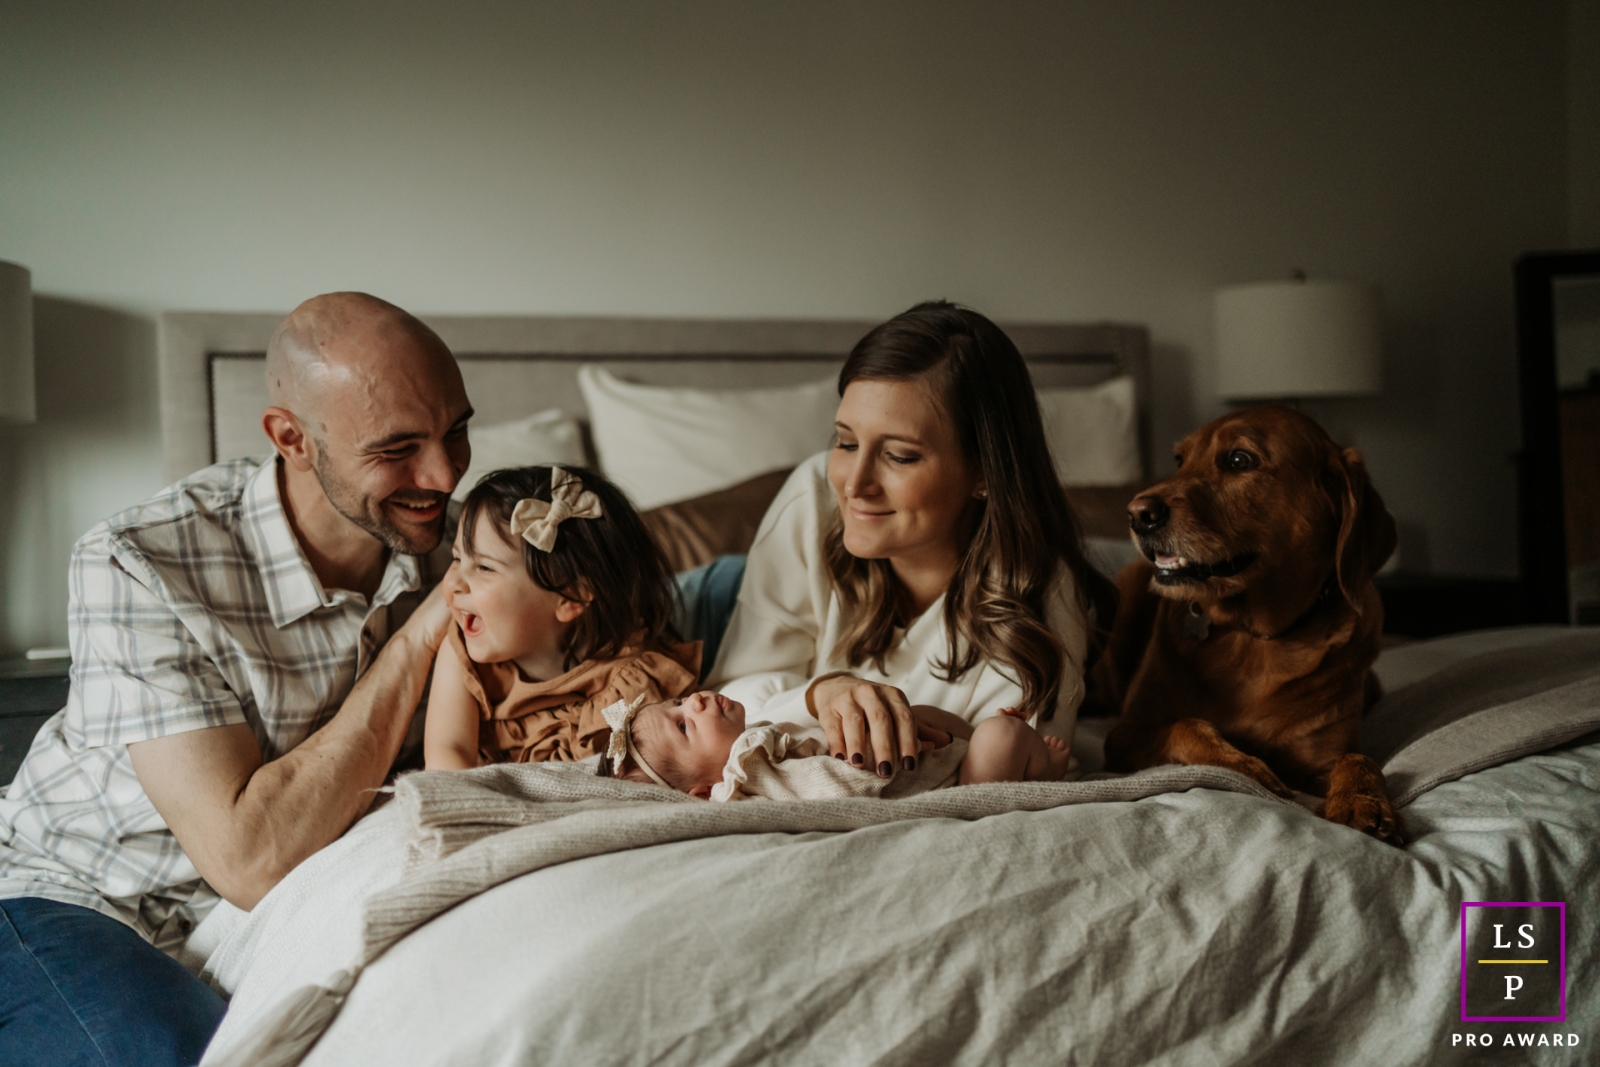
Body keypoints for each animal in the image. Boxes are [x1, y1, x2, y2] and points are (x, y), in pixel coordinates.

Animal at [1100, 406, 1401, 844]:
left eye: (1239, 460)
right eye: (1179, 461)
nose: (1138, 513)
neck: (1255, 636)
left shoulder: (1321, 758)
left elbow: (1359, 758)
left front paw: (1364, 802)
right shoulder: (1124, 736)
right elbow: (1187, 725)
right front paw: (1247, 767)